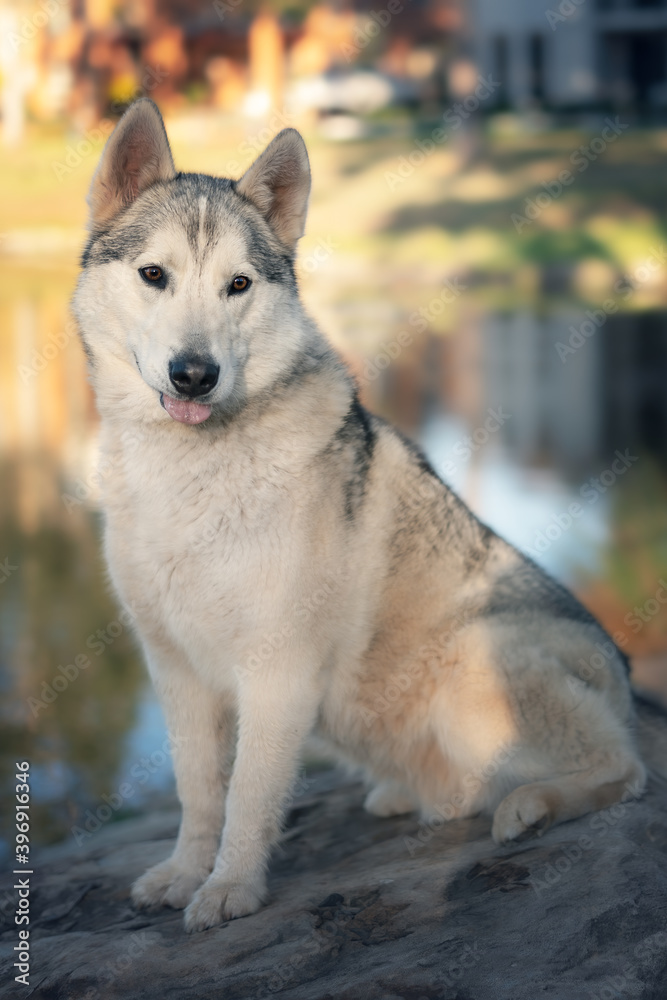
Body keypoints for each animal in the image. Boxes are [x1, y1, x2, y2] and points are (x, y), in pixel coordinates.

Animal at [73, 99, 645, 932]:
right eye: (154, 275)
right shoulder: (174, 666)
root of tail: (626, 675)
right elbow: (198, 792)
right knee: (466, 793)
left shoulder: (274, 669)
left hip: (473, 662)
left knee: (625, 770)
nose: (194, 374)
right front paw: (183, 873)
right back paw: (412, 793)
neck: (193, 472)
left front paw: (230, 888)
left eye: (237, 285)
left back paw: (532, 805)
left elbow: (248, 797)